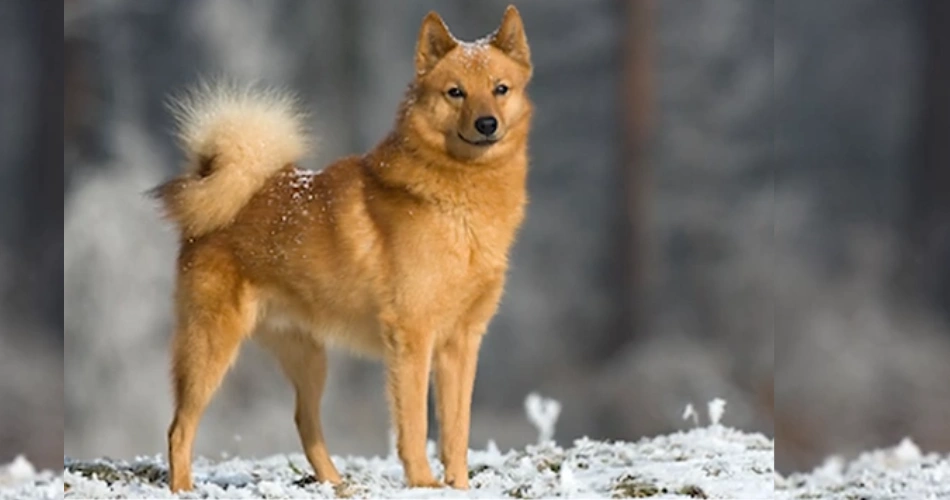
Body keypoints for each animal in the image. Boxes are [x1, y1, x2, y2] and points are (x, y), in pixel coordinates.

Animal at [152, 4, 532, 492]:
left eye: (500, 89)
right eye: (455, 93)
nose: (487, 124)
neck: (457, 203)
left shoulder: (462, 343)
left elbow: (456, 430)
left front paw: (458, 486)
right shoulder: (412, 338)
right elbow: (415, 425)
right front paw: (424, 483)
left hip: (309, 357)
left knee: (304, 421)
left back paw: (335, 484)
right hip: (210, 346)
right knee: (180, 427)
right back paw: (183, 488)